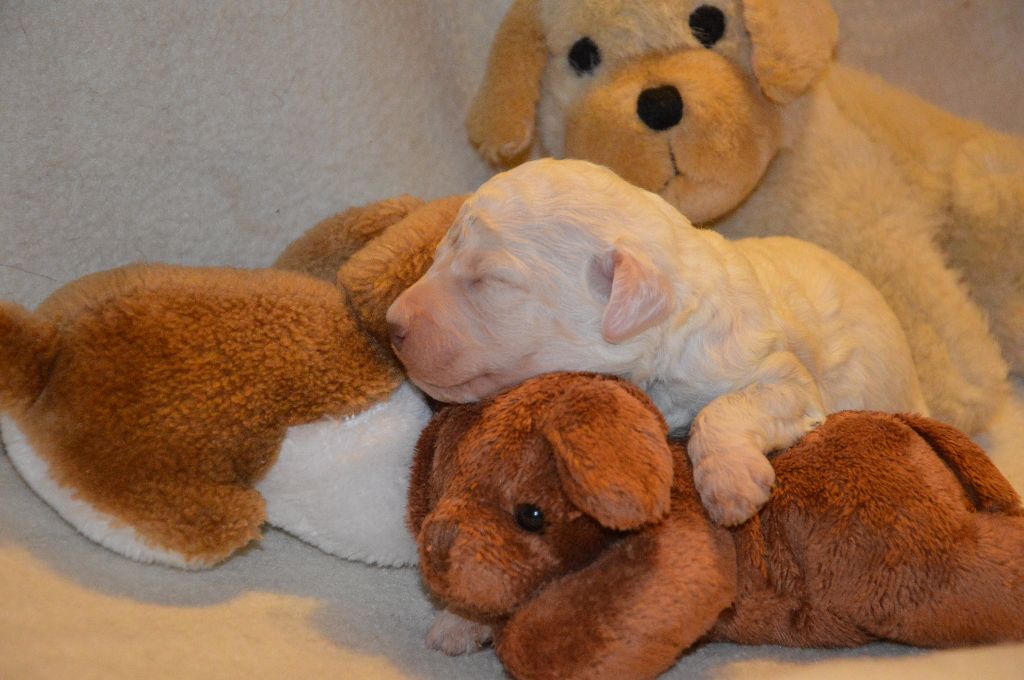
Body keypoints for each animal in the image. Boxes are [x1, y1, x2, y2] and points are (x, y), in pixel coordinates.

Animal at [387, 158, 927, 527]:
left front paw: (731, 484)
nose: (391, 324)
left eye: (489, 279)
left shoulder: (781, 375)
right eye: (439, 256)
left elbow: (725, 407)